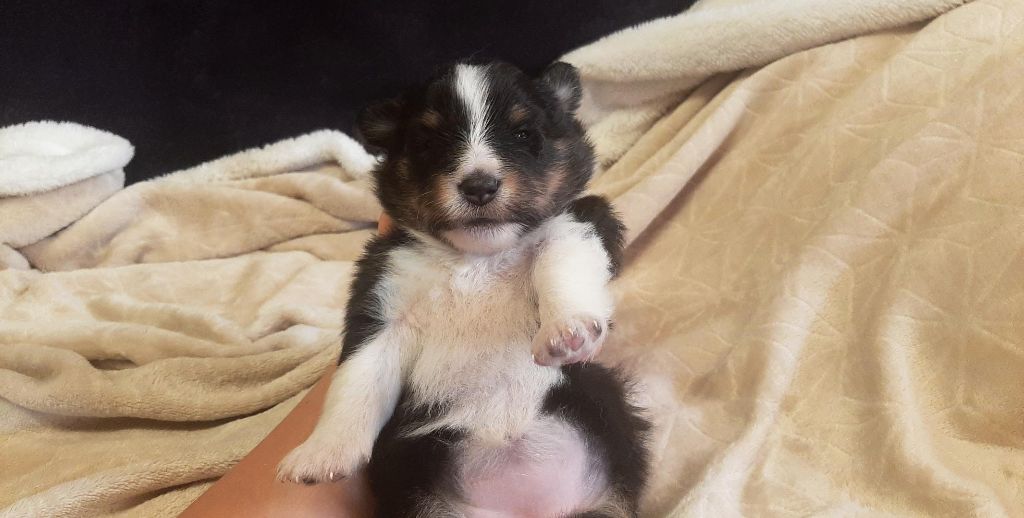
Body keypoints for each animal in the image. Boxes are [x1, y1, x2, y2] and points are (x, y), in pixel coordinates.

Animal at [278, 60, 649, 518]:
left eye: (524, 135)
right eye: (429, 142)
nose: (479, 186)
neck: (478, 259)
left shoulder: (584, 217)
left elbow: (559, 255)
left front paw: (567, 332)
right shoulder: (382, 300)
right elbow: (357, 378)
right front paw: (320, 454)